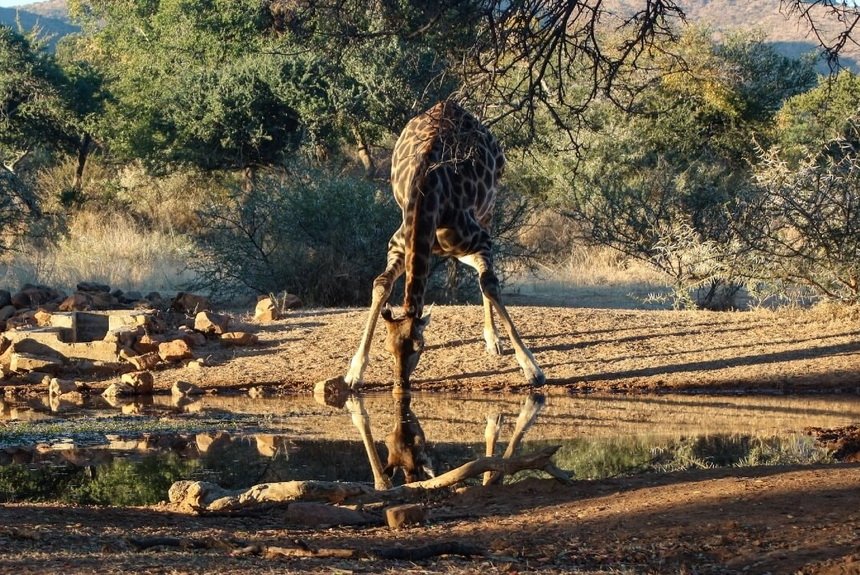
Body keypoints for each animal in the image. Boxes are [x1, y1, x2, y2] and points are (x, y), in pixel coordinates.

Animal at [344, 101, 540, 396]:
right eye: (388, 347)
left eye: (419, 347)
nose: (400, 385)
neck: (427, 197)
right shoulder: (398, 245)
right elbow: (381, 284)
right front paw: (355, 372)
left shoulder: (480, 239)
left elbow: (489, 284)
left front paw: (531, 367)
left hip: (489, 208)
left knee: (484, 274)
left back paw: (493, 340)